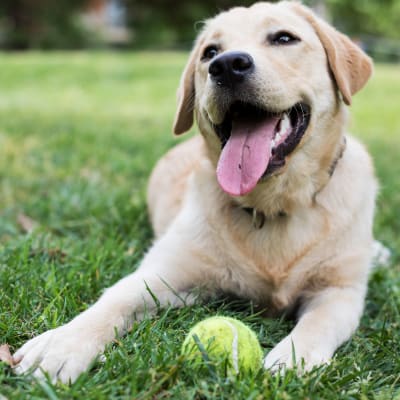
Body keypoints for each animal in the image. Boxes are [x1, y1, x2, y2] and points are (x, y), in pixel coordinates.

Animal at [14, 1, 376, 382]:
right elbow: (115, 298)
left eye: (283, 38)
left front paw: (293, 358)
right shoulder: (165, 274)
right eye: (210, 53)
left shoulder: (341, 292)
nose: (227, 66)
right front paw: (62, 343)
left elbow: (318, 323)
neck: (270, 205)